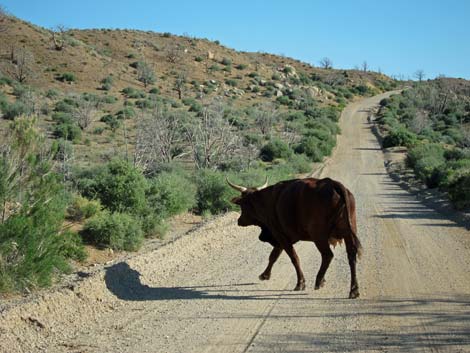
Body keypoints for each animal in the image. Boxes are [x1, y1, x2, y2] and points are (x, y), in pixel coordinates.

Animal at [226, 176, 362, 296]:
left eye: (242, 205)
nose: (239, 221)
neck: (266, 200)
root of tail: (331, 183)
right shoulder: (281, 238)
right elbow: (273, 256)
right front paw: (265, 274)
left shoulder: (280, 235)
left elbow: (293, 258)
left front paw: (300, 283)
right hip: (348, 234)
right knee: (351, 256)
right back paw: (353, 289)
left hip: (319, 236)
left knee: (327, 255)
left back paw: (318, 280)